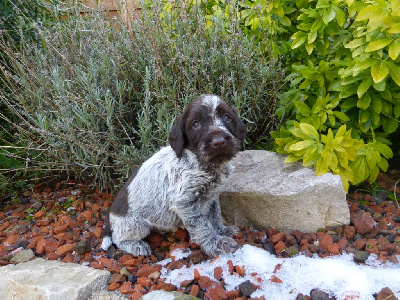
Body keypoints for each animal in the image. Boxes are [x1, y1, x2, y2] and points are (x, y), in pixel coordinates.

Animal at [101, 94, 247, 258]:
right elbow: (202, 226)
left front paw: (221, 231)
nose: (219, 142)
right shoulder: (185, 202)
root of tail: (110, 216)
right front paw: (215, 244)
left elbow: (214, 216)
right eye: (195, 124)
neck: (203, 164)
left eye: (227, 117)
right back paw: (136, 245)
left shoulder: (212, 196)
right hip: (136, 224)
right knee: (118, 239)